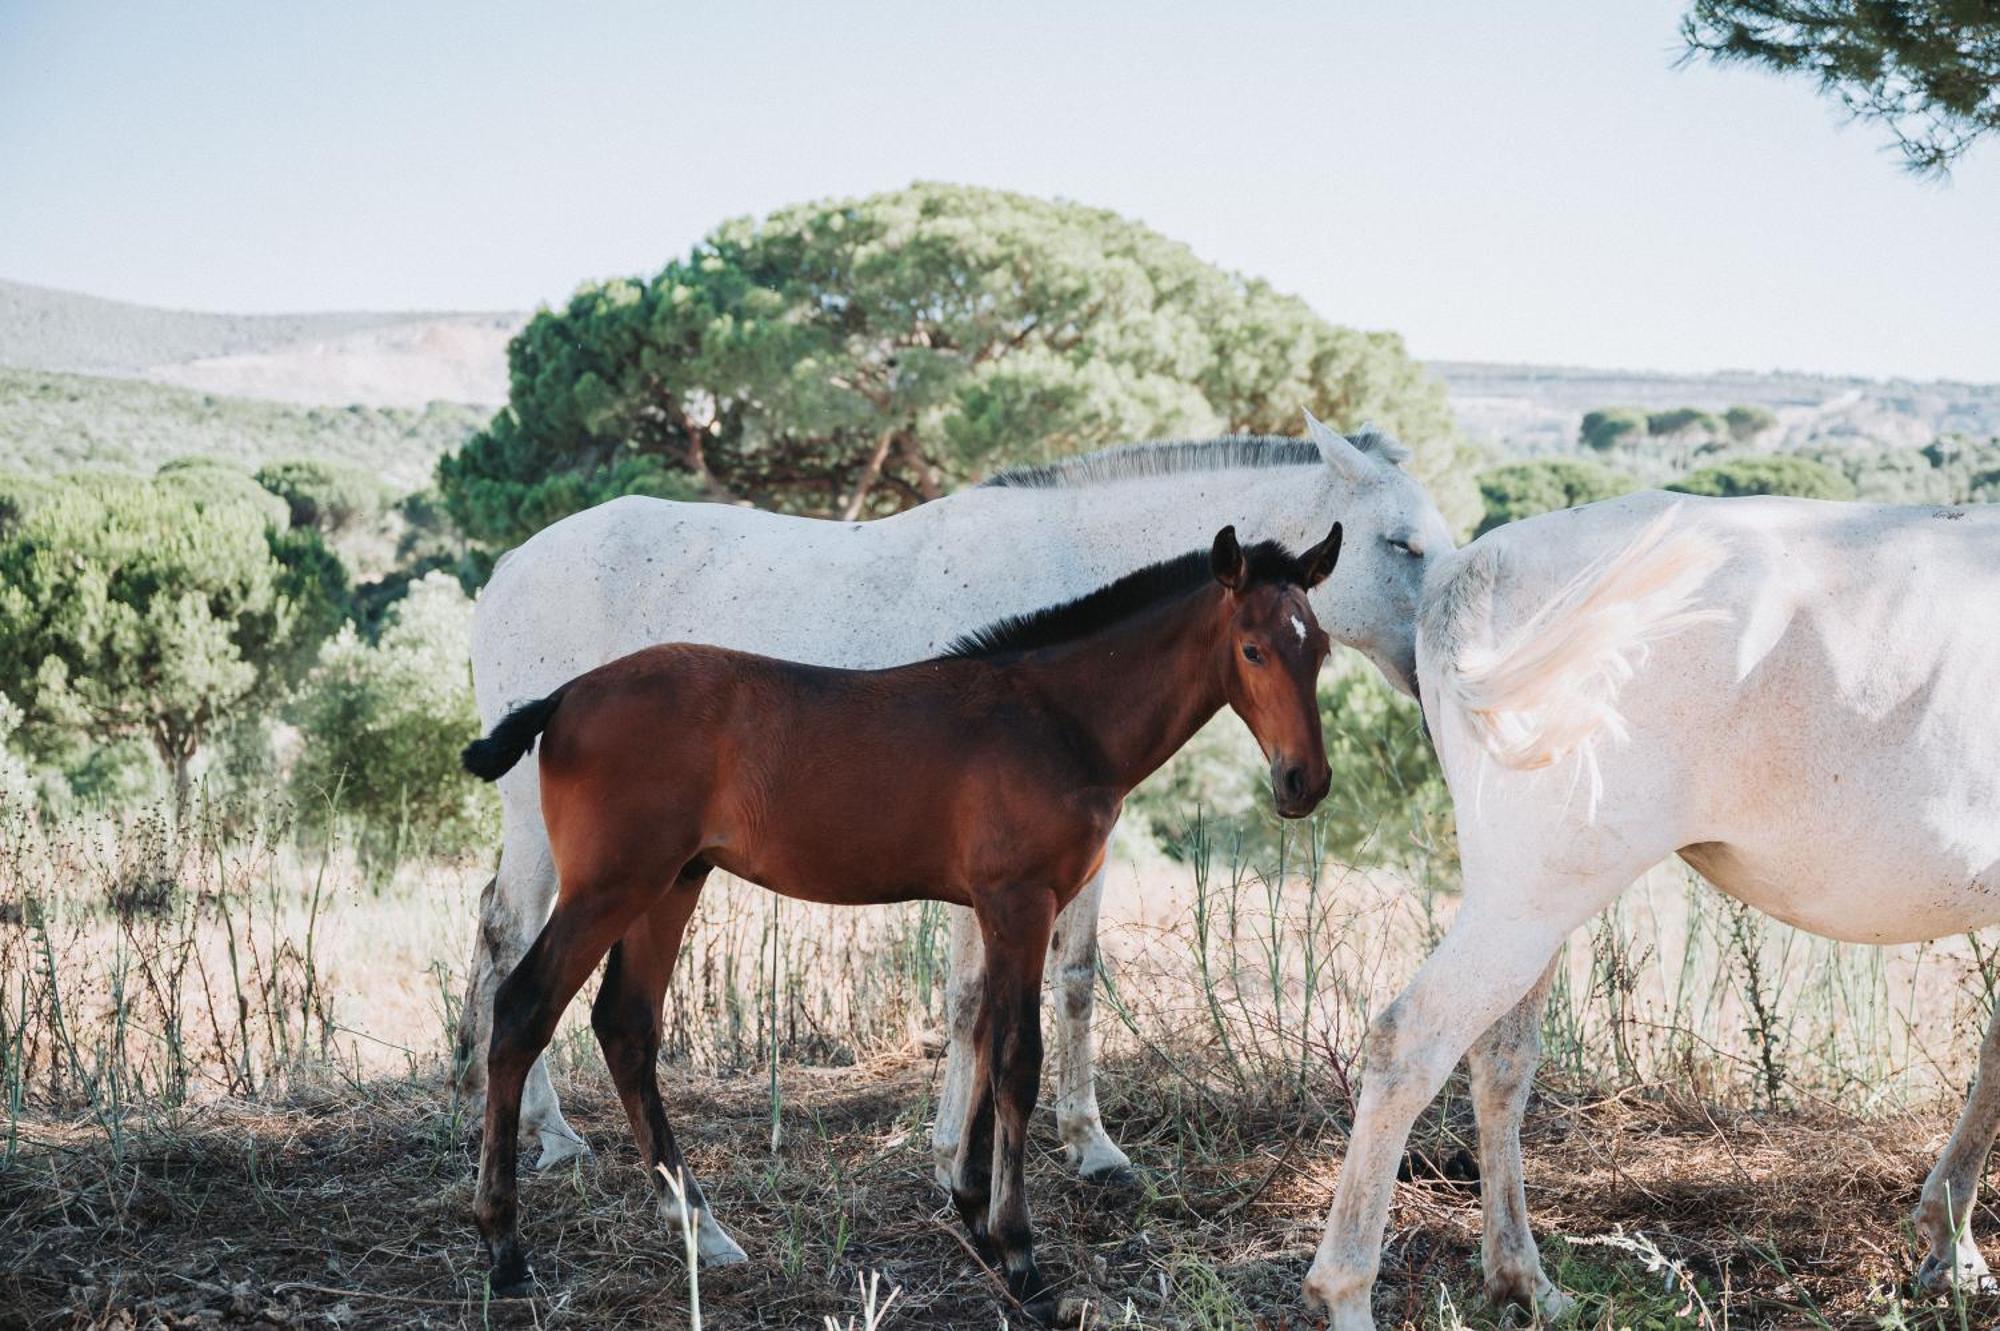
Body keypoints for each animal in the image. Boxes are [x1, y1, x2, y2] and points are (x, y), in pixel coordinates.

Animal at [458, 415, 1456, 1255]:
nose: (1441, 673)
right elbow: (979, 1003)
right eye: (1401, 543)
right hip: (568, 847)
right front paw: (971, 1163)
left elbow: (1070, 981)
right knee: (512, 948)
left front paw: (1077, 1148)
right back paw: (548, 1138)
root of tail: (506, 571)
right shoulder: (999, 882)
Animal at [1304, 489, 2000, 1327]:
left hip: (1528, 902)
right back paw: (1346, 1292)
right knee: (1410, 1045)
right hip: (1529, 904)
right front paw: (1955, 1244)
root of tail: (1473, 571)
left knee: (1501, 1059)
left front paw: (1950, 1244)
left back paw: (1525, 1281)